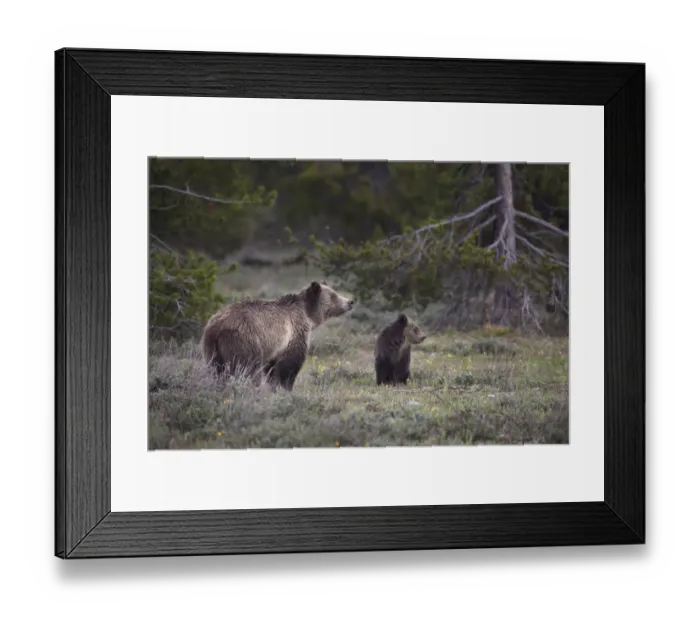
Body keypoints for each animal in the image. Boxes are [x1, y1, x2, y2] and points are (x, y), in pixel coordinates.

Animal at [200, 280, 354, 391]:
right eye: (333, 295)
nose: (350, 302)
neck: (308, 315)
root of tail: (216, 327)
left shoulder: (275, 349)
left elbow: (272, 369)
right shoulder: (294, 333)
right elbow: (289, 366)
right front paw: (286, 388)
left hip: (212, 348)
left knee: (216, 370)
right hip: (244, 341)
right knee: (248, 369)